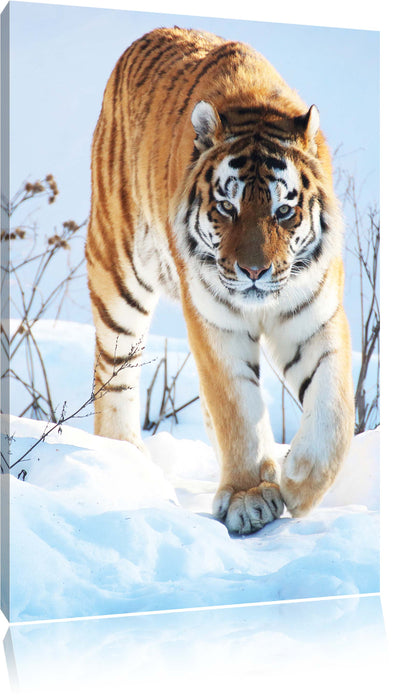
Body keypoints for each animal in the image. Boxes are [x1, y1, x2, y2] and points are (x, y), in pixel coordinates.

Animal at [86, 26, 355, 535]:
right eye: (227, 208)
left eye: (283, 211)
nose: (253, 271)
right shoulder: (215, 322)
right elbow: (237, 408)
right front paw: (251, 496)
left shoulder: (313, 314)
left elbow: (334, 409)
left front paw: (298, 481)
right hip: (117, 274)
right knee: (115, 375)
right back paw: (125, 462)